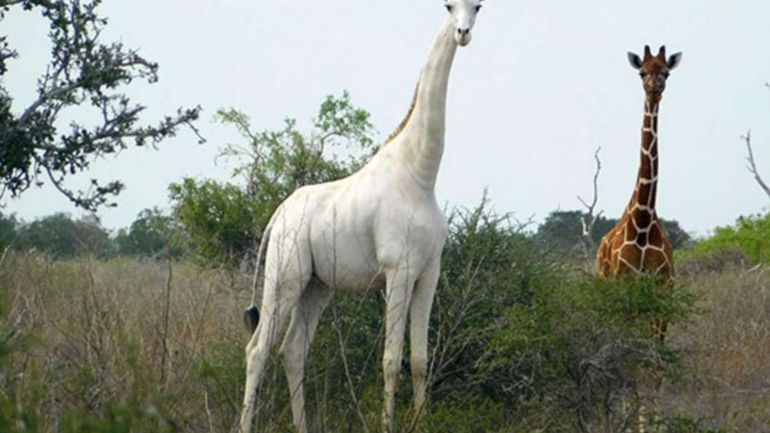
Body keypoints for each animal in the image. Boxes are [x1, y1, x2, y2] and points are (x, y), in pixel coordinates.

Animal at [237, 0, 484, 432]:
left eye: (479, 7)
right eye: (448, 6)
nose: (463, 33)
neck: (420, 175)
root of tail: (277, 215)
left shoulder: (429, 272)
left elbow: (420, 360)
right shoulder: (398, 271)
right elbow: (390, 360)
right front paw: (388, 424)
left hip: (317, 285)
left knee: (292, 350)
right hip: (285, 276)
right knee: (258, 349)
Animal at [596, 44, 680, 332]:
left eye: (666, 72)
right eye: (642, 72)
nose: (654, 88)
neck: (643, 221)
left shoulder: (664, 286)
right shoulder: (625, 282)